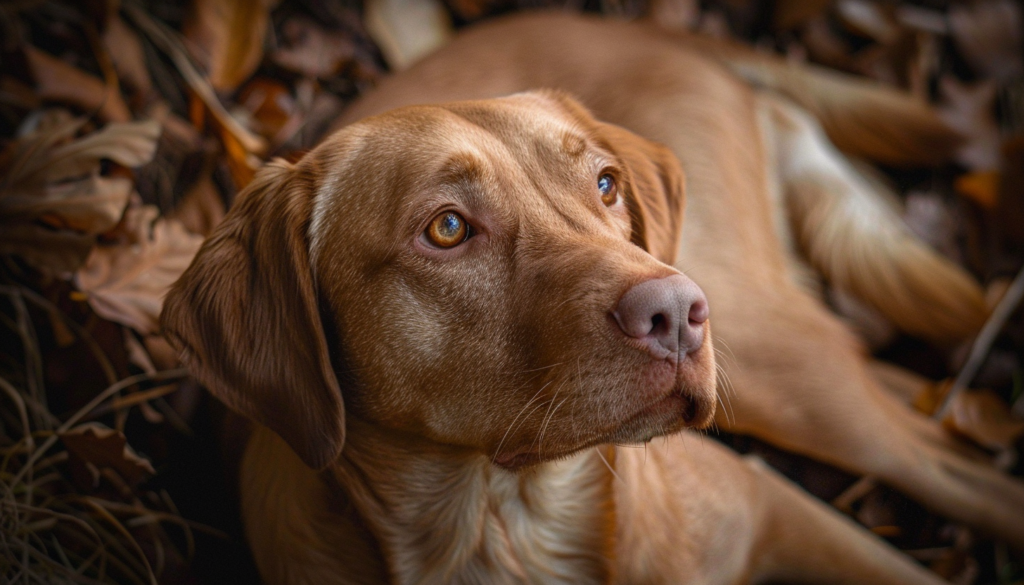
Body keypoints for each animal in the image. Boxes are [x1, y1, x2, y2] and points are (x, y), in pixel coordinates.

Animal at [163, 10, 1019, 585]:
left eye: (606, 184)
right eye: (446, 228)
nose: (675, 311)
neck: (503, 528)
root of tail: (658, 32)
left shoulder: (781, 508)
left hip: (768, 364)